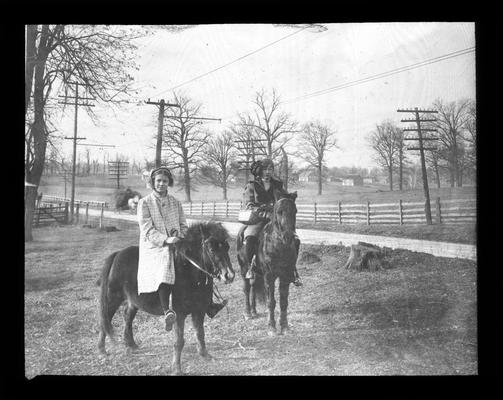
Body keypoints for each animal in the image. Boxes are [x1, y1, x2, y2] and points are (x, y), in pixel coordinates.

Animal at [97, 222, 235, 376]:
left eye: (227, 247)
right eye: (211, 249)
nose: (229, 275)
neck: (189, 273)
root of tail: (117, 254)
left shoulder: (198, 311)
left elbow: (200, 333)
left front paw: (205, 355)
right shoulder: (179, 315)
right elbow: (179, 341)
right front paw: (177, 368)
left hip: (133, 302)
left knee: (127, 318)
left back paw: (131, 344)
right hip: (113, 298)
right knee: (105, 319)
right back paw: (102, 350)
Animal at [237, 191, 300, 334]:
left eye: (295, 211)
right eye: (279, 211)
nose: (289, 237)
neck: (278, 246)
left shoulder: (285, 276)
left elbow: (283, 302)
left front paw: (285, 326)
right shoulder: (269, 276)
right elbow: (271, 302)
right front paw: (271, 327)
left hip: (256, 272)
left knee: (253, 286)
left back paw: (254, 311)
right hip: (244, 269)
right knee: (246, 288)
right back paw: (248, 313)